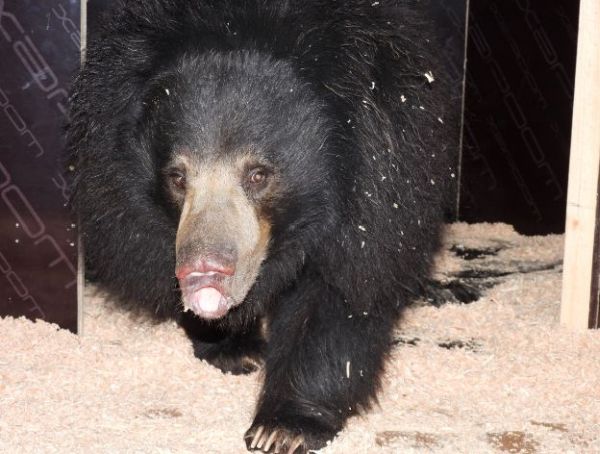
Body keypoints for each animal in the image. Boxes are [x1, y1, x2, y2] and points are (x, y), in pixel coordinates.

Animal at [67, 1, 460, 452]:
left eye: (258, 175)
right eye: (177, 177)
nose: (204, 274)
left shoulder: (380, 181)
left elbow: (339, 296)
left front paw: (284, 427)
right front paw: (233, 349)